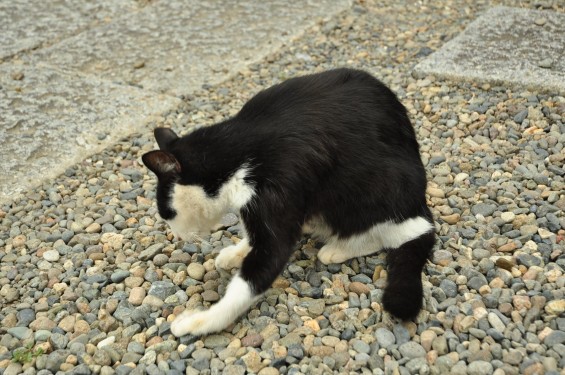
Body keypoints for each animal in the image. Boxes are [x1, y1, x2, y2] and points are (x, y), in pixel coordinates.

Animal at [142, 67, 436, 338]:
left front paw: (201, 321)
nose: (176, 235)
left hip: (372, 186)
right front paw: (239, 251)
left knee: (389, 231)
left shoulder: (279, 189)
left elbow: (254, 275)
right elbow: (254, 235)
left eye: (167, 213)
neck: (238, 156)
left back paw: (339, 248)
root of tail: (420, 205)